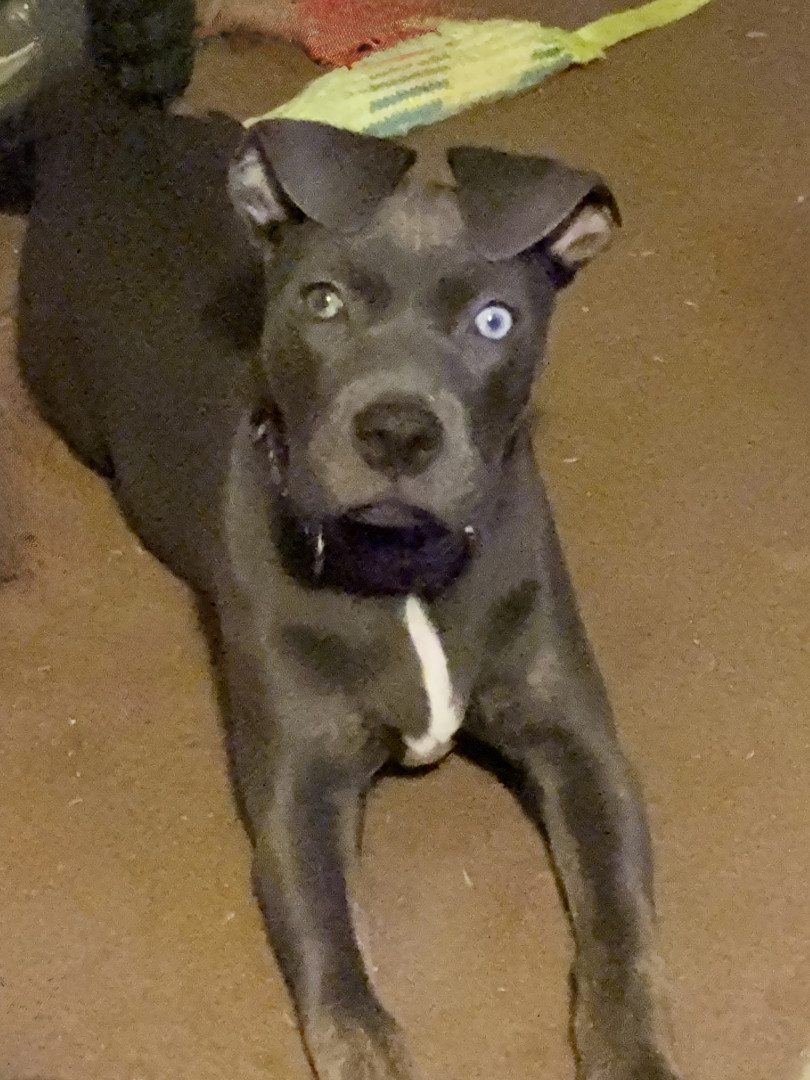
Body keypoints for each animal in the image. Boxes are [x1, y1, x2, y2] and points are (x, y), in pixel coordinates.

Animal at [1, 5, 681, 1078]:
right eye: (322, 301)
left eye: (496, 320)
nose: (397, 432)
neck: (401, 569)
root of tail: (106, 126)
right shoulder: (299, 793)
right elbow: (342, 985)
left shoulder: (581, 745)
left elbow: (621, 932)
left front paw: (633, 1050)